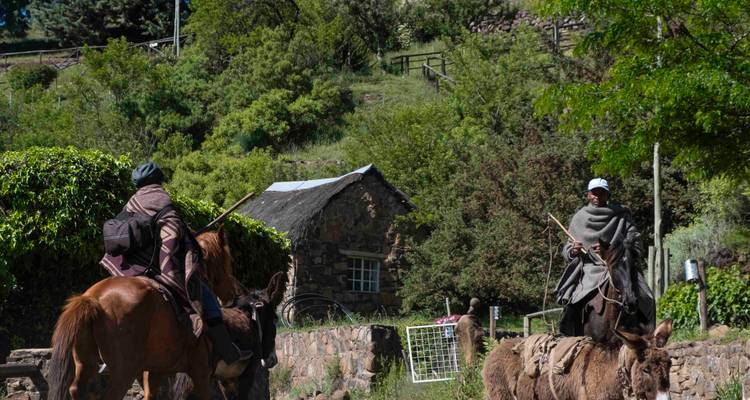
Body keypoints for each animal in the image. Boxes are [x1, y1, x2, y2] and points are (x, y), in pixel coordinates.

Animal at [46, 228, 286, 400]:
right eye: (226, 262)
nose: (229, 294)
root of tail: (93, 298)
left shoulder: (156, 372)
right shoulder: (204, 373)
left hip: (87, 364)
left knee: (79, 390)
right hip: (123, 372)